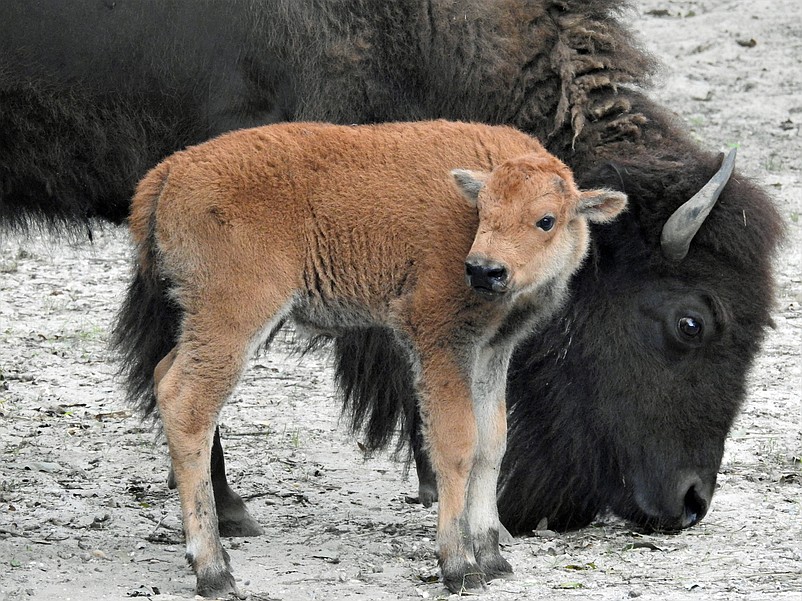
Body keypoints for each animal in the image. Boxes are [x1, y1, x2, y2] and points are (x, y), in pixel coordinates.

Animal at [119, 119, 624, 592]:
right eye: (482, 210)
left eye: (546, 220)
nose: (484, 270)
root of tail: (171, 169)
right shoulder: (441, 343)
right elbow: (456, 444)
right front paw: (459, 566)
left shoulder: (491, 352)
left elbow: (492, 443)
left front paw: (494, 558)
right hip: (234, 317)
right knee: (189, 405)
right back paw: (214, 571)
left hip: (203, 321)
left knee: (165, 376)